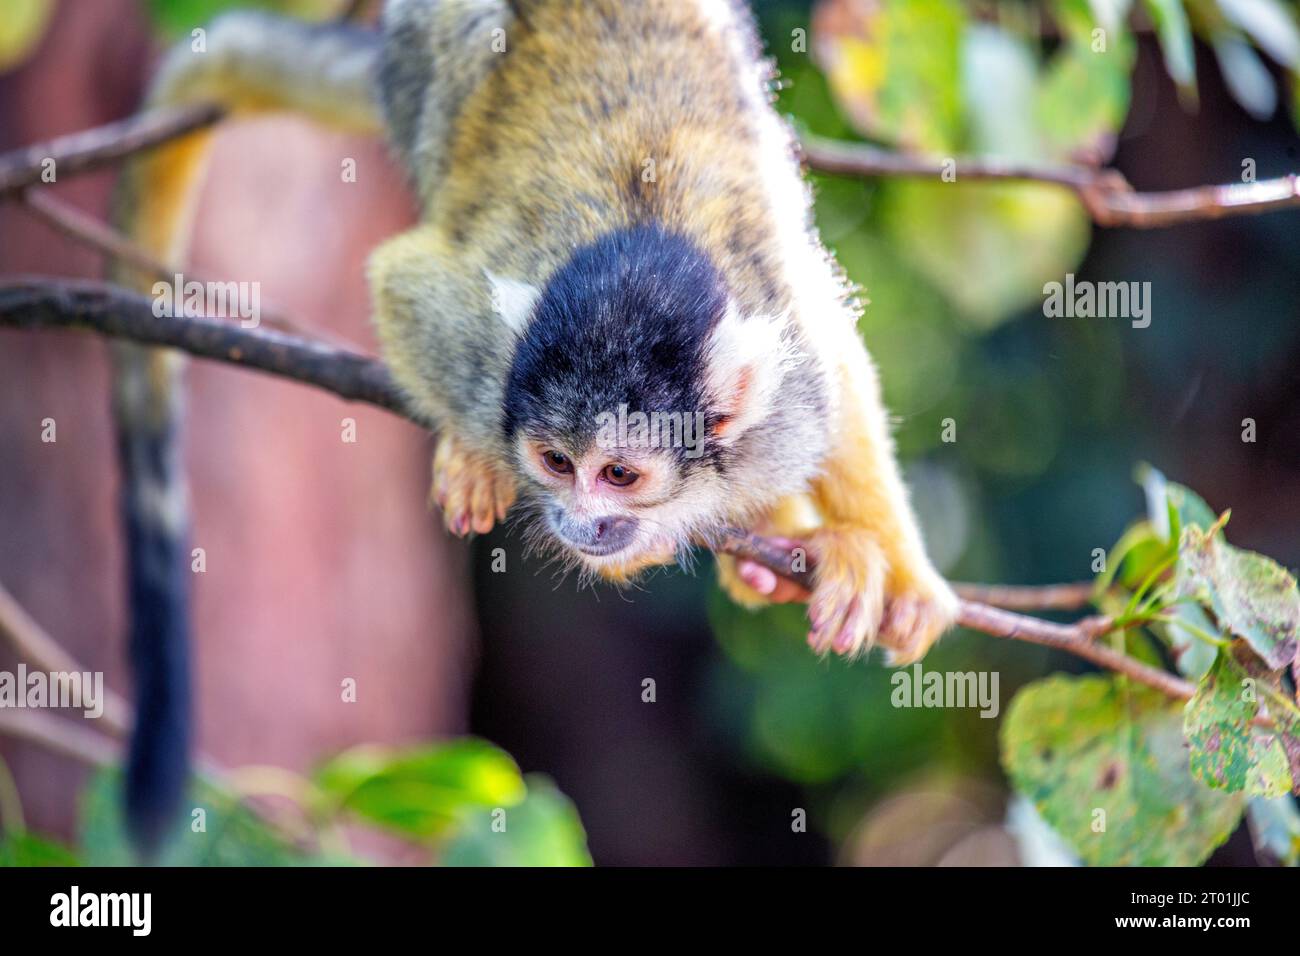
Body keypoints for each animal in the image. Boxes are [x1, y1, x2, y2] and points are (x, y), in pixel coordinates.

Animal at [114, 0, 956, 837]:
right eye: (556, 463)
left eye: (618, 474)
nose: (578, 522)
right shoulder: (484, 352)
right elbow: (402, 284)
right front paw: (475, 457)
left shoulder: (794, 389)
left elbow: (838, 368)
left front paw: (888, 564)